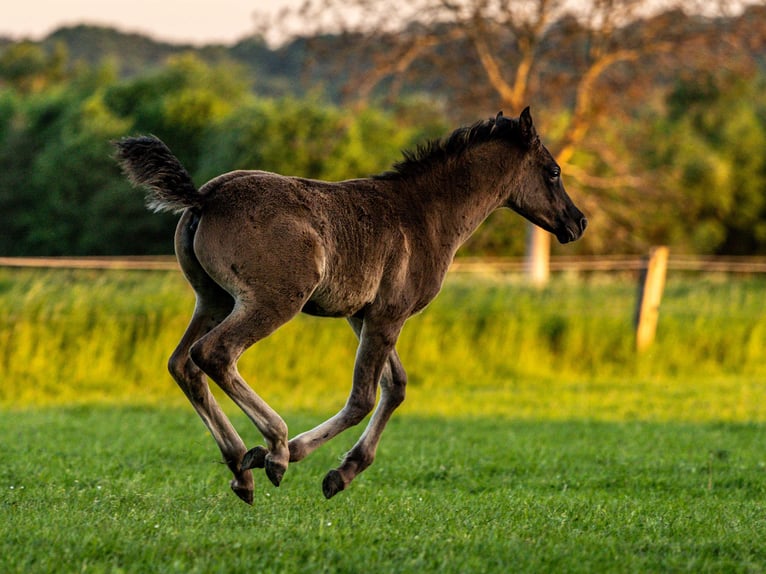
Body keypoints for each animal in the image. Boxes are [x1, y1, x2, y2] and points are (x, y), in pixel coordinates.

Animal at [114, 107, 587, 503]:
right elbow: (363, 397)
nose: (577, 222)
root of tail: (204, 197)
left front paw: (343, 473)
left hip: (212, 299)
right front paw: (301, 456)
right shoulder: (388, 315)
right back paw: (276, 448)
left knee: (182, 364)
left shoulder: (366, 316)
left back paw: (240, 468)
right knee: (214, 353)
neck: (424, 215)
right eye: (554, 171)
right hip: (272, 301)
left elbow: (396, 387)